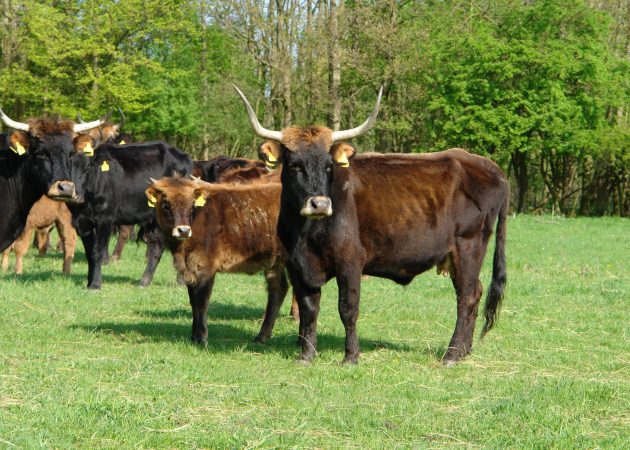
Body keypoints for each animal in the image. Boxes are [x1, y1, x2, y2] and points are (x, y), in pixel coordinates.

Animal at [68, 142, 193, 288]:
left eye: (87, 168)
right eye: (69, 167)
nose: (74, 195)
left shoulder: (105, 220)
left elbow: (97, 252)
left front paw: (95, 284)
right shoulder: (82, 223)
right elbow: (89, 254)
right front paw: (89, 282)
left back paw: (181, 280)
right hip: (153, 220)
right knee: (157, 247)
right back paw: (145, 280)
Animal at [146, 177, 292, 344]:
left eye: (192, 205)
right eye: (165, 205)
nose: (183, 230)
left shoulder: (205, 267)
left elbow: (201, 302)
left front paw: (201, 337)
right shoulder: (191, 269)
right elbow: (193, 302)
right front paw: (193, 336)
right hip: (274, 262)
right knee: (278, 289)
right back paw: (262, 336)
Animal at [235, 84, 512, 366]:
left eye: (328, 166)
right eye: (294, 166)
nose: (320, 204)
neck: (305, 234)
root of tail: (491, 167)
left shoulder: (350, 261)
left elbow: (347, 308)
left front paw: (350, 356)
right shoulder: (298, 265)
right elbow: (309, 309)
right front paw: (306, 354)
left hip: (468, 247)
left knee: (467, 297)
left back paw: (452, 354)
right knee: (475, 293)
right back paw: (465, 350)